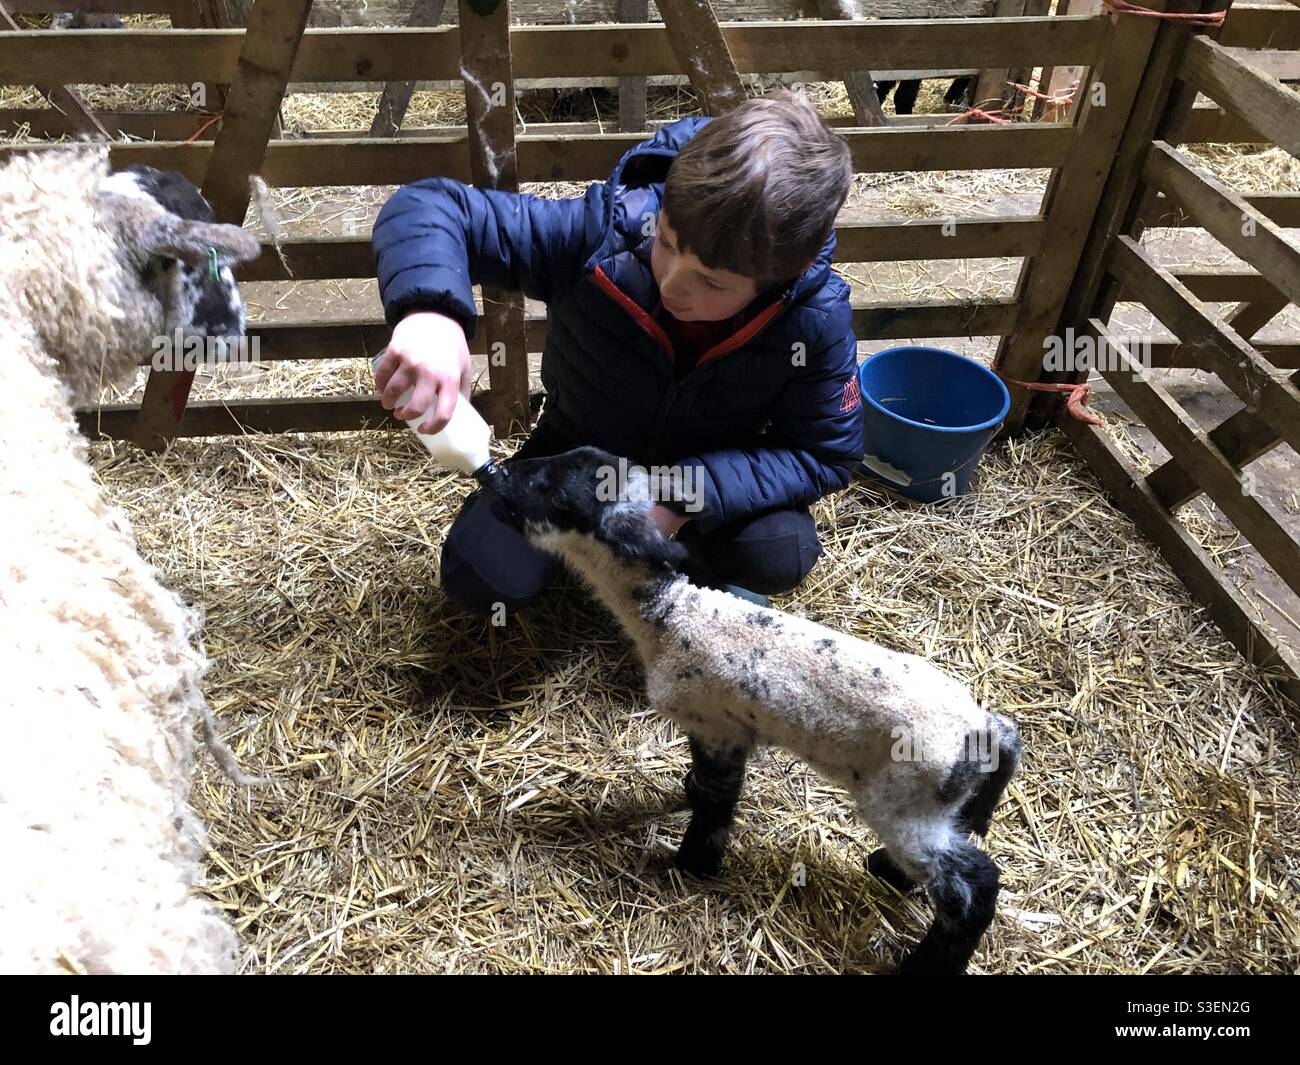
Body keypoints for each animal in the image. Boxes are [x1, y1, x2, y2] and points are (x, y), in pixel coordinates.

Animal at [486, 444, 1013, 977]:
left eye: (554, 492)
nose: (494, 475)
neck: (670, 613)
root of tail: (983, 732)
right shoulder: (722, 727)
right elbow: (704, 782)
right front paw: (690, 802)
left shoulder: (717, 725)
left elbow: (719, 797)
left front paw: (696, 861)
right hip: (934, 803)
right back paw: (891, 870)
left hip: (904, 798)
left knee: (973, 886)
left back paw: (924, 960)